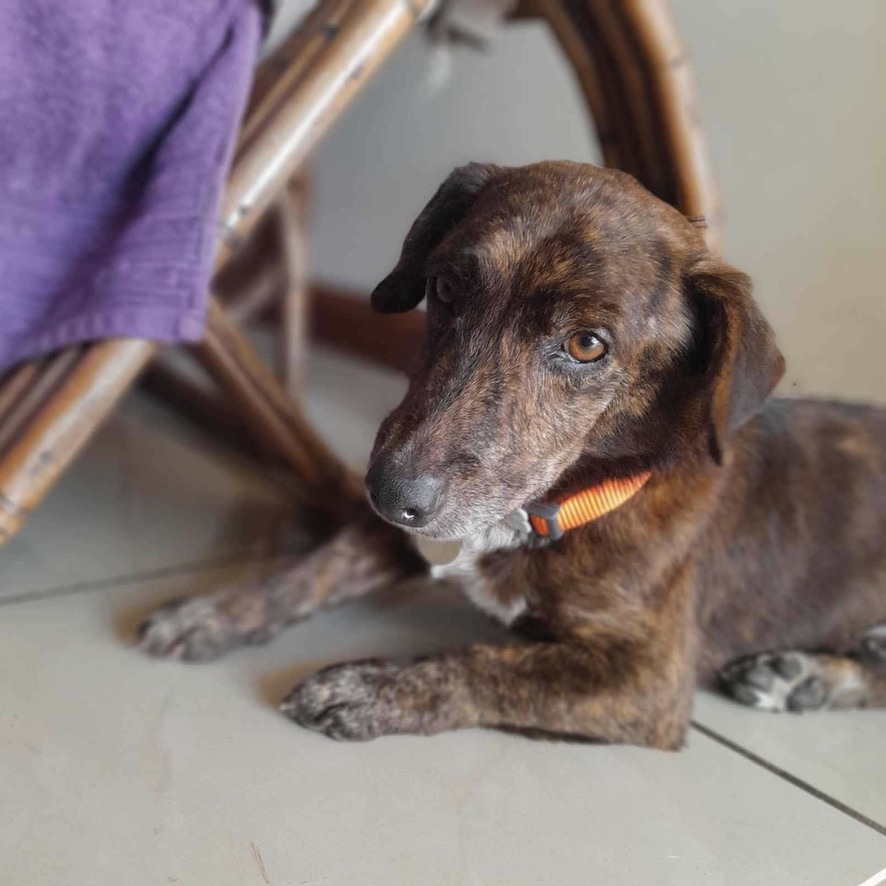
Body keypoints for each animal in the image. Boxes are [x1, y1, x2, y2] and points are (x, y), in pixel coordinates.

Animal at [137, 161, 886, 748]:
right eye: (444, 287)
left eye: (587, 344)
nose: (389, 494)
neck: (549, 506)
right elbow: (315, 568)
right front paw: (217, 612)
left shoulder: (648, 678)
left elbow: (489, 664)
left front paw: (372, 686)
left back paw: (807, 677)